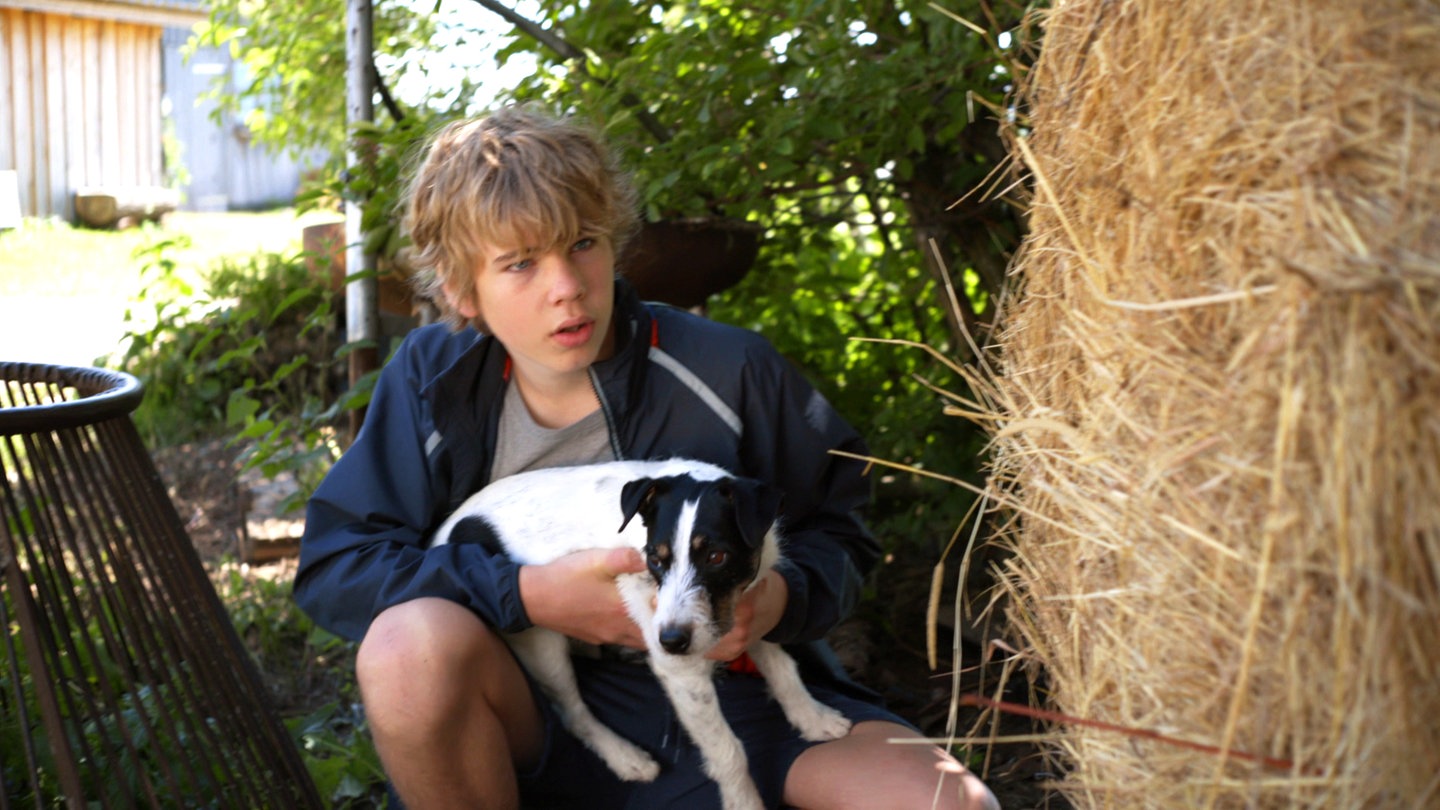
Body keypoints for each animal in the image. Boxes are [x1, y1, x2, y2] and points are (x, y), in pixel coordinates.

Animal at [432, 458, 846, 807]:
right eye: (655, 559)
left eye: (716, 557)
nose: (672, 642)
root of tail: (441, 536)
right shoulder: (681, 671)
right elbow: (728, 750)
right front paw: (743, 804)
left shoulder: (749, 612)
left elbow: (782, 668)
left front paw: (812, 717)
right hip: (539, 640)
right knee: (572, 712)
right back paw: (625, 757)